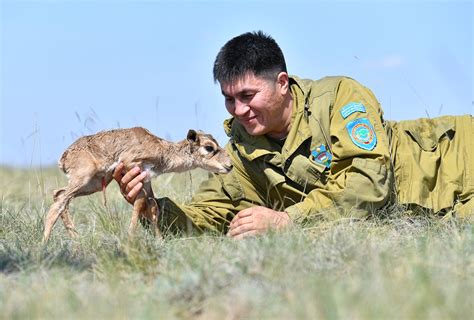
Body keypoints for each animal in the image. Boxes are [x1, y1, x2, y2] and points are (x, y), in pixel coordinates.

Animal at [43, 126, 232, 241]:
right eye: (209, 147)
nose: (229, 166)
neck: (162, 150)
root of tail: (64, 157)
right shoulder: (131, 166)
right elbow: (140, 201)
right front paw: (130, 237)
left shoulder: (146, 179)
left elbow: (152, 205)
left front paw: (159, 240)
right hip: (84, 178)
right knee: (59, 201)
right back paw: (45, 243)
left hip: (94, 183)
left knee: (59, 195)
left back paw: (76, 239)